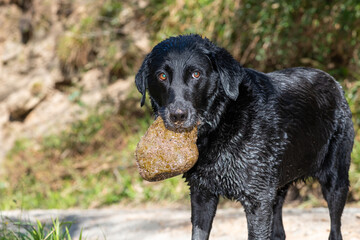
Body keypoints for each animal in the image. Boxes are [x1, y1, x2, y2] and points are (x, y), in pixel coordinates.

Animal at [135, 34, 354, 240]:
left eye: (196, 74)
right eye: (162, 76)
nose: (178, 115)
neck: (222, 119)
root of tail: (334, 83)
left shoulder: (258, 200)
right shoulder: (201, 194)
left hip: (335, 181)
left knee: (335, 230)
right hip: (278, 187)